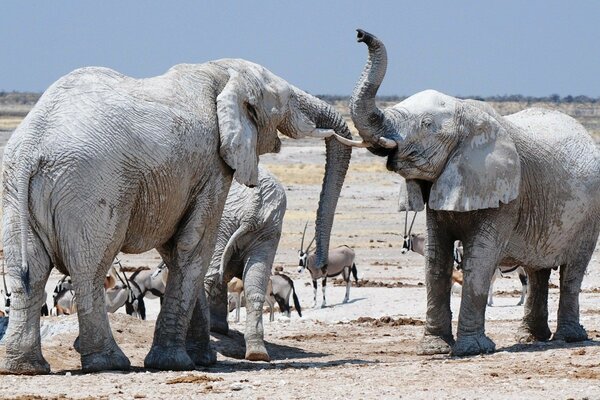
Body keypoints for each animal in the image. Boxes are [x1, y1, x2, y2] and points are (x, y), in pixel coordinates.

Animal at [205, 166, 288, 362]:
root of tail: (253, 208)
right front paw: (219, 328)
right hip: (267, 230)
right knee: (254, 286)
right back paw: (257, 353)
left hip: (224, 218)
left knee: (209, 275)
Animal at [342, 30, 600, 356]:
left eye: (426, 124)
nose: (360, 34)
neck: (465, 111)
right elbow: (435, 258)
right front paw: (433, 350)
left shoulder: (505, 194)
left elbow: (480, 258)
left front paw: (472, 349)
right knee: (537, 270)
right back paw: (532, 338)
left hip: (590, 215)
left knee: (572, 271)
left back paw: (569, 338)